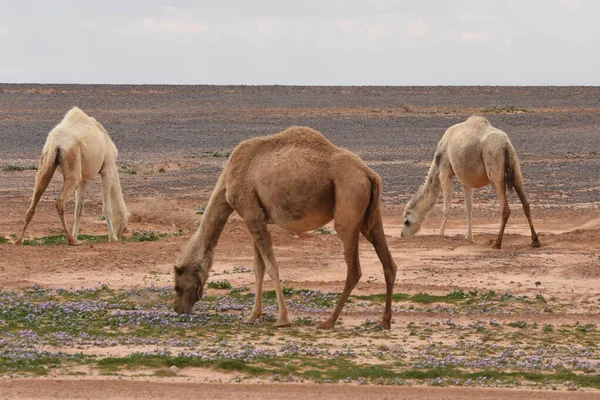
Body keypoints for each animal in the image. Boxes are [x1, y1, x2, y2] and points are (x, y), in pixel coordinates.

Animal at [14, 106, 127, 245]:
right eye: (124, 227)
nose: (120, 235)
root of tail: (56, 143)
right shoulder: (107, 169)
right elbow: (107, 208)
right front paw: (112, 238)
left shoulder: (84, 179)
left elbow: (78, 210)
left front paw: (76, 235)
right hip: (73, 164)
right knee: (60, 201)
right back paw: (71, 240)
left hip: (46, 161)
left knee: (34, 199)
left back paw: (19, 240)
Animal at [173, 126, 398, 330]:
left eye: (178, 286)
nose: (177, 309)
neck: (227, 182)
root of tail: (369, 174)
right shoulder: (255, 218)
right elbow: (259, 268)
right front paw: (252, 316)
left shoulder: (251, 215)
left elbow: (272, 267)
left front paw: (282, 319)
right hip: (372, 218)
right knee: (388, 263)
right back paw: (384, 321)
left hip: (348, 208)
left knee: (354, 269)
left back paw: (329, 322)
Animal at [400, 114, 540, 250]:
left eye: (406, 221)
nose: (402, 235)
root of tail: (505, 144)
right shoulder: (465, 180)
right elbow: (468, 208)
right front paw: (469, 238)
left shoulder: (445, 171)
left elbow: (446, 207)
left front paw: (440, 235)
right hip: (515, 166)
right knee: (525, 203)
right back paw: (535, 241)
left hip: (494, 164)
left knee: (505, 208)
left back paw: (497, 244)